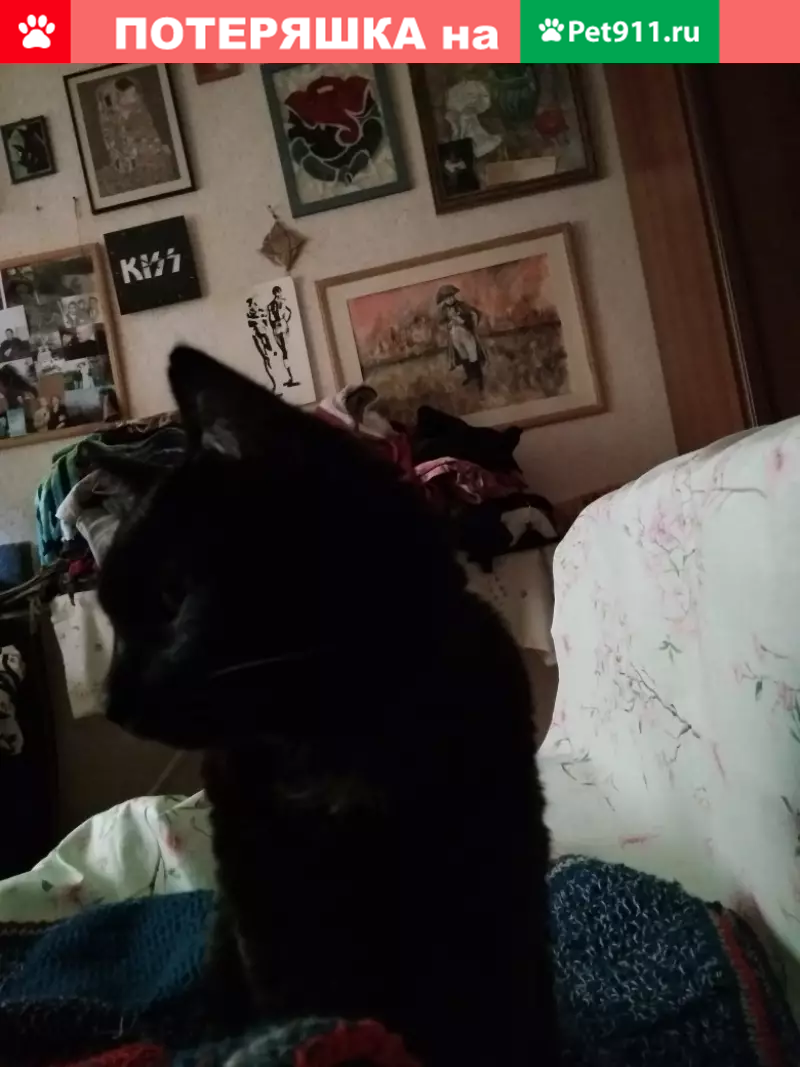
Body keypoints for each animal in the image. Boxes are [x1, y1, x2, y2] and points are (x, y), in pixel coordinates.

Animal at [98, 347, 558, 1066]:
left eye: (173, 598)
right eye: (110, 620)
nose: (112, 702)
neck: (335, 735)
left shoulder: (491, 863)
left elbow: (499, 1011)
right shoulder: (266, 895)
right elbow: (305, 1007)